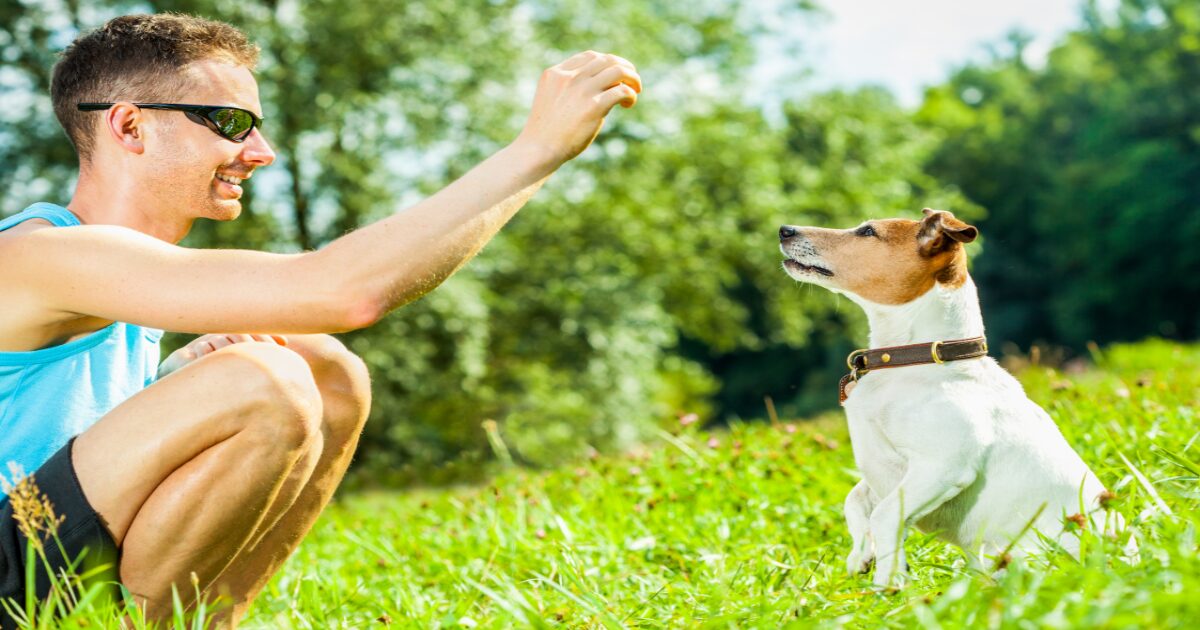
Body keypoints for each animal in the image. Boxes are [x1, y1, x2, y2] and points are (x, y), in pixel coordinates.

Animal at [782, 210, 1118, 585]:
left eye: (868, 231)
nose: (784, 230)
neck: (917, 359)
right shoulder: (883, 466)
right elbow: (854, 500)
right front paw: (861, 556)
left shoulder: (941, 467)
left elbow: (883, 515)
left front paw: (887, 588)